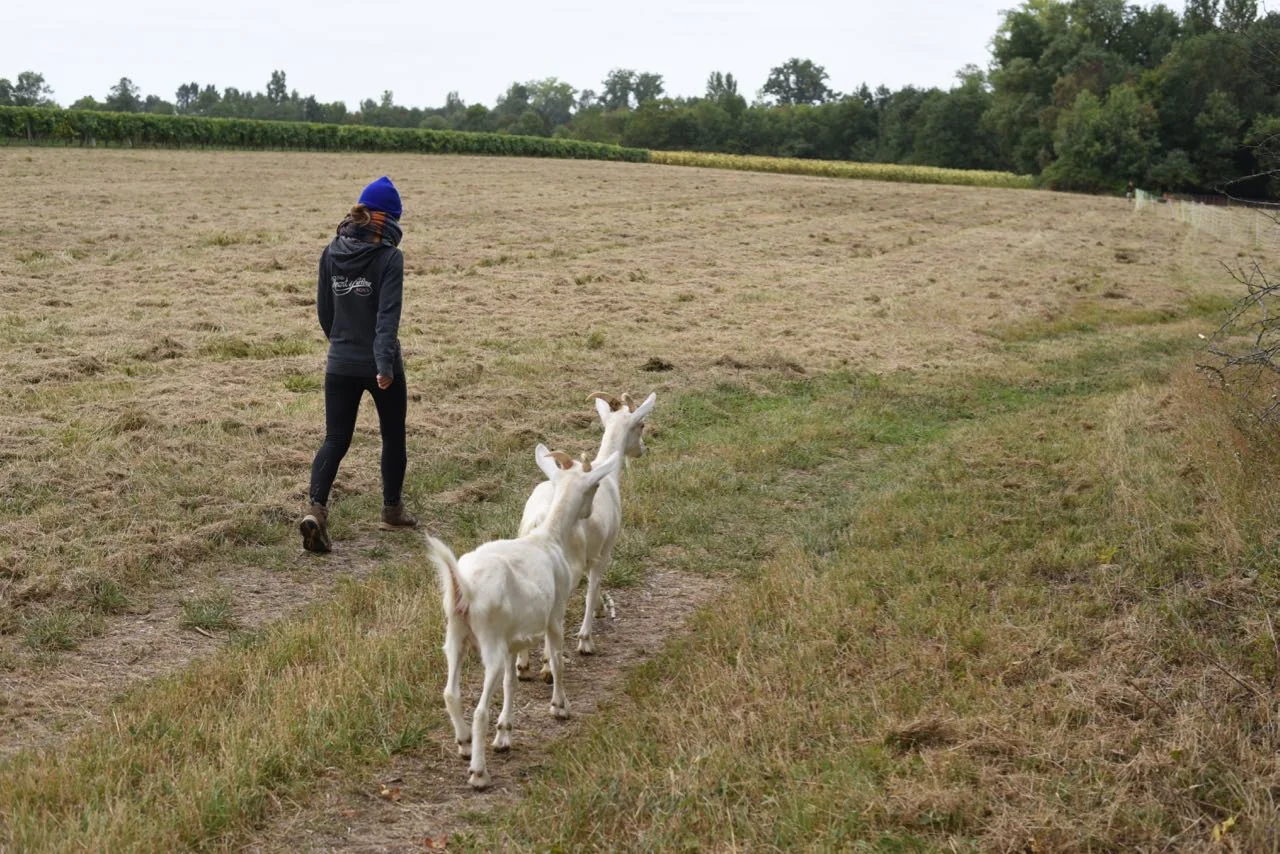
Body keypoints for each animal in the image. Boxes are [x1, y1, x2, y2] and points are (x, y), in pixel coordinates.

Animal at [427, 444, 621, 790]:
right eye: (595, 485)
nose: (588, 512)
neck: (548, 539)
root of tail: (465, 588)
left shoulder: (512, 641)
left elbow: (511, 682)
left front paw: (505, 732)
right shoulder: (554, 616)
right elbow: (556, 660)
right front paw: (560, 707)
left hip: (455, 635)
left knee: (450, 692)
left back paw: (464, 744)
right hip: (489, 643)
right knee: (480, 710)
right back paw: (479, 772)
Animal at [516, 391, 657, 681]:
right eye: (641, 424)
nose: (644, 449)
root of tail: (540, 518)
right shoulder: (605, 549)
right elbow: (593, 587)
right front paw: (586, 641)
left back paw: (523, 666)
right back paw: (547, 664)